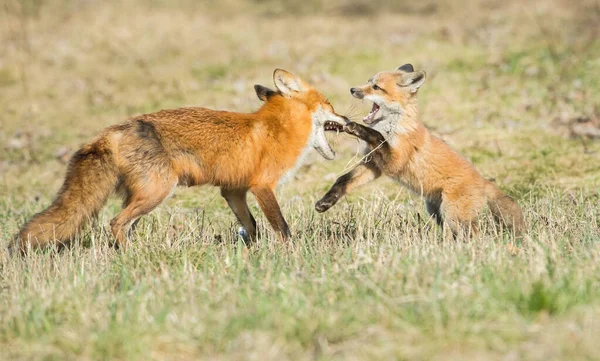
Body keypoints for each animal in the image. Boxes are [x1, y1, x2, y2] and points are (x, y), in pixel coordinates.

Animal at [11, 68, 350, 253]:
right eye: (330, 104)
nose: (347, 119)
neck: (276, 129)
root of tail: (112, 132)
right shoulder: (262, 186)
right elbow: (282, 227)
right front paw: (292, 253)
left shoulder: (233, 191)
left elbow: (251, 226)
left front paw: (251, 255)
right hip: (157, 191)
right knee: (116, 223)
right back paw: (135, 257)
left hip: (141, 196)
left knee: (122, 225)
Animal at [316, 64, 524, 238]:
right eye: (368, 82)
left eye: (376, 87)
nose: (352, 89)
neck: (394, 127)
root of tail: (484, 182)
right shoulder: (374, 164)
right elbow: (343, 180)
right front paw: (326, 202)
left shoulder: (394, 160)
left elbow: (376, 136)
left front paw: (355, 127)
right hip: (436, 211)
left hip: (453, 214)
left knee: (474, 235)